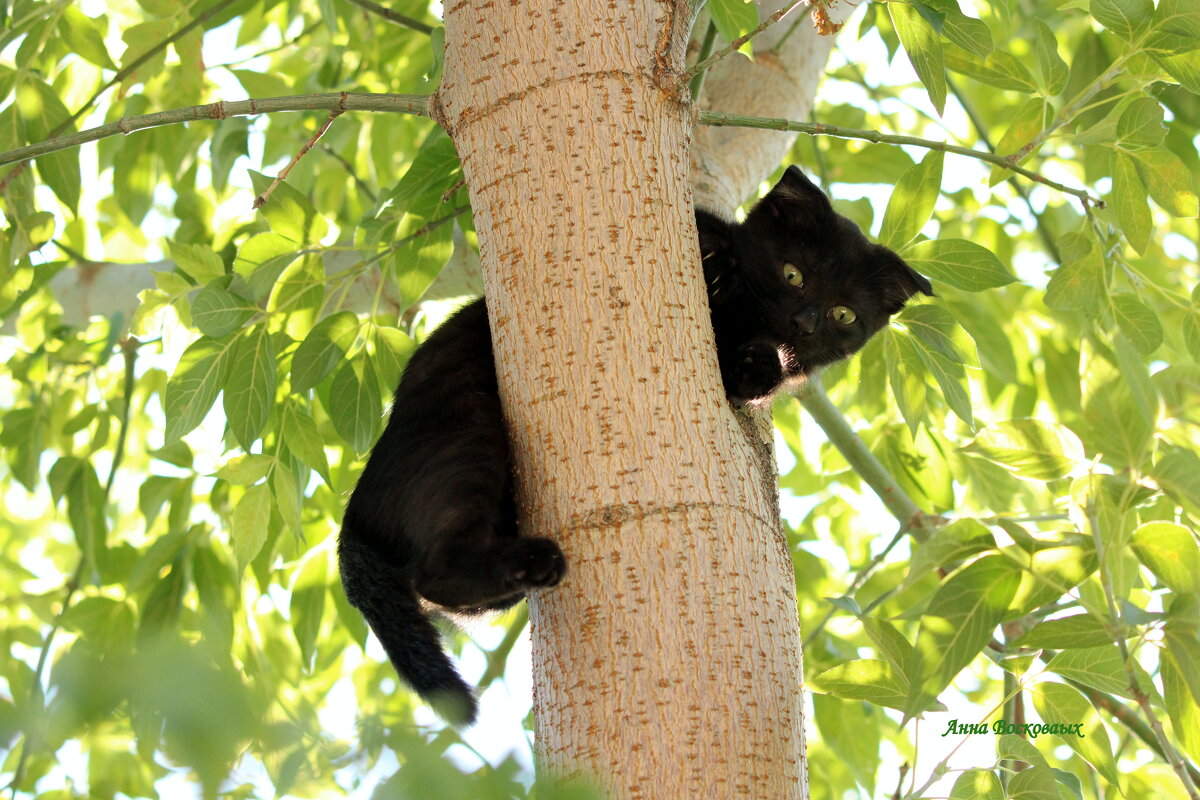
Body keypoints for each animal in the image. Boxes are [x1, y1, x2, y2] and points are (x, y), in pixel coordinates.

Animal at [338, 167, 936, 724]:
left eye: (844, 314)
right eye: (794, 274)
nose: (806, 322)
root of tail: (354, 522)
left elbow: (757, 373)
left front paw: (760, 363)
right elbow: (710, 234)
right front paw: (718, 259)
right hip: (468, 436)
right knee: (438, 566)